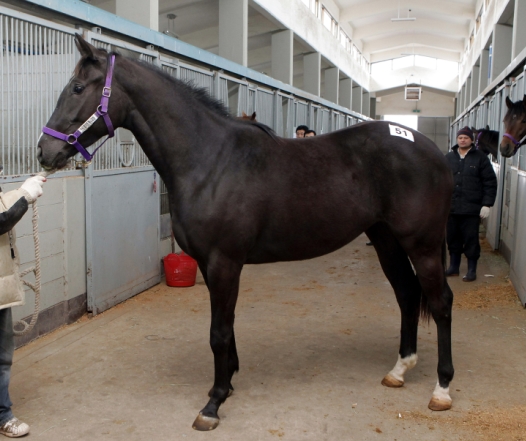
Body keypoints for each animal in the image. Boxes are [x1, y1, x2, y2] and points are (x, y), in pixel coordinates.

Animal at [39, 34, 456, 430]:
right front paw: (227, 382)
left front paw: (213, 403)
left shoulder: (225, 262)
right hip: (386, 240)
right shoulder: (209, 264)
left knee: (440, 303)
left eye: (77, 87)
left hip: (422, 245)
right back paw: (399, 370)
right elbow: (227, 326)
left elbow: (218, 332)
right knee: (407, 294)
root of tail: (429, 148)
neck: (210, 161)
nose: (44, 152)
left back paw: (442, 389)